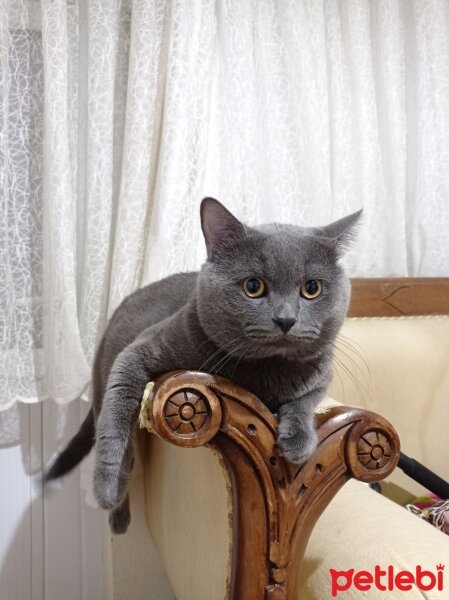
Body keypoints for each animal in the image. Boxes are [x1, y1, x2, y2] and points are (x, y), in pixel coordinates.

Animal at [46, 198, 360, 536]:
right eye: (253, 286)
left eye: (312, 288)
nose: (286, 319)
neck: (264, 373)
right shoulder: (137, 352)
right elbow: (114, 424)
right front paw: (106, 488)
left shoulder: (321, 375)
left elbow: (306, 399)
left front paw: (299, 441)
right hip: (104, 373)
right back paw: (119, 515)